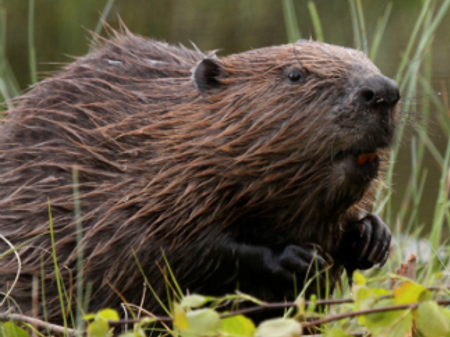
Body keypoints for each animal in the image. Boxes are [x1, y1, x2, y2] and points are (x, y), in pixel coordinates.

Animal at [0, 29, 400, 322]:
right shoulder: (133, 187)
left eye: (367, 60)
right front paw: (295, 258)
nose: (383, 91)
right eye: (295, 74)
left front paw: (372, 236)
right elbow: (163, 249)